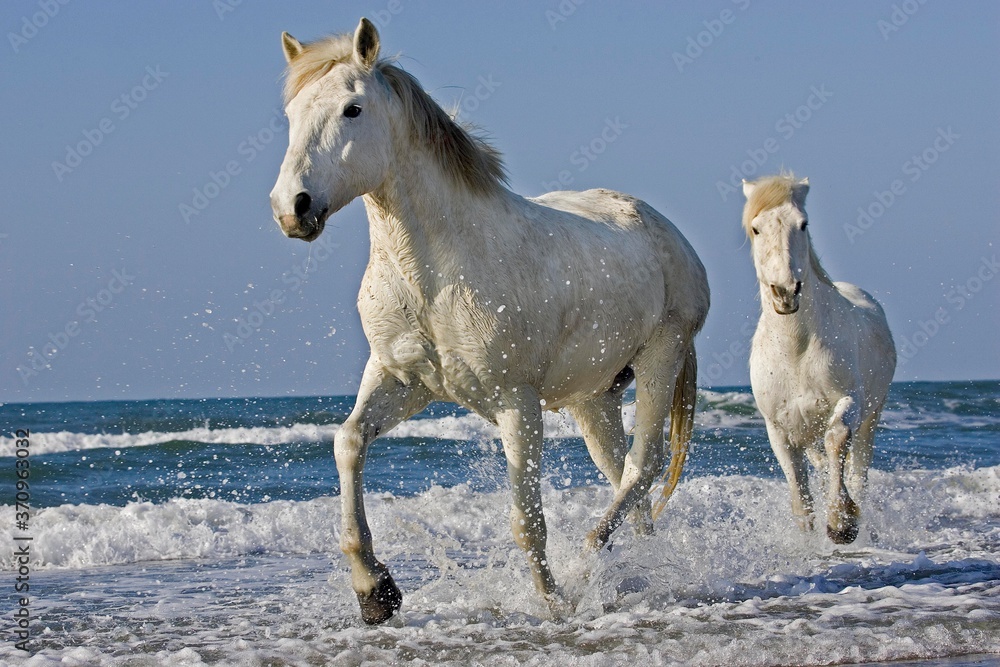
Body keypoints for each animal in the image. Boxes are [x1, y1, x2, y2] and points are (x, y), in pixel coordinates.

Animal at [270, 18, 710, 624]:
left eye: (352, 109)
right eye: (291, 115)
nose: (291, 207)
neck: (433, 274)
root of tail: (666, 231)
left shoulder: (515, 403)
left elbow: (526, 521)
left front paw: (553, 603)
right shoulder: (399, 379)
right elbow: (349, 442)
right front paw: (374, 592)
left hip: (660, 358)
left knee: (642, 467)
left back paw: (588, 571)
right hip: (593, 398)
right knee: (626, 478)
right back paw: (640, 567)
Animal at [742, 174, 896, 544]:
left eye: (803, 223)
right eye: (756, 228)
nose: (785, 291)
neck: (795, 351)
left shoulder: (849, 401)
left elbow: (836, 439)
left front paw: (842, 522)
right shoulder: (778, 427)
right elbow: (800, 494)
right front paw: (808, 537)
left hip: (871, 416)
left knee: (857, 469)